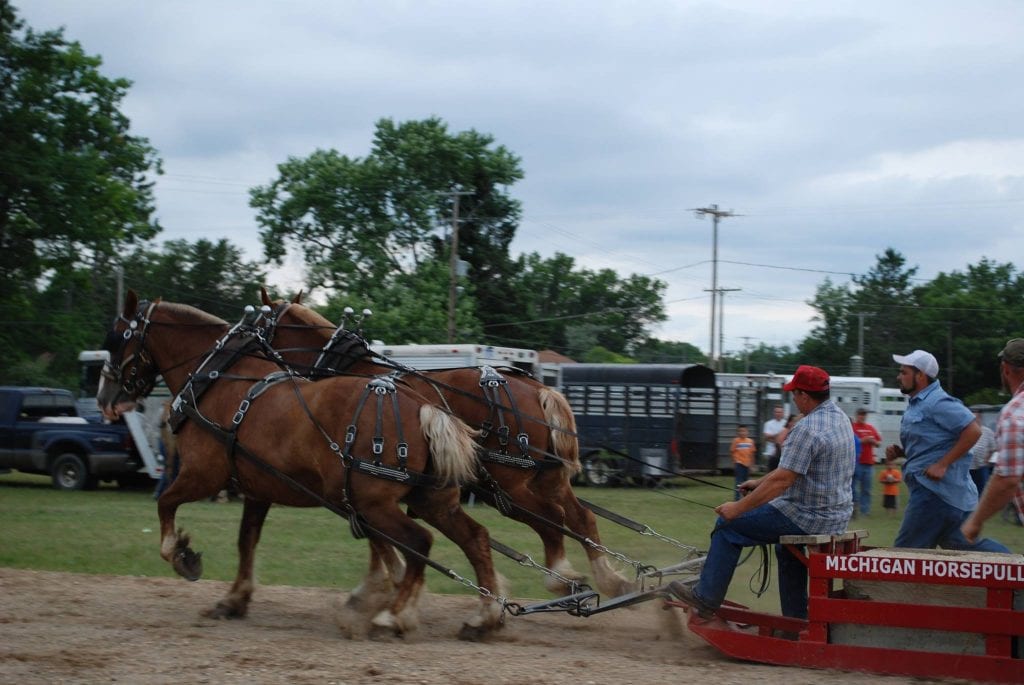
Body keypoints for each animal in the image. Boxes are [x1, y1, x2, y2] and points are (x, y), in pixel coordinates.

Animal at [96, 290, 503, 638]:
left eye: (115, 340)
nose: (105, 398)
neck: (218, 378)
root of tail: (425, 406)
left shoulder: (202, 474)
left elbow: (167, 504)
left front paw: (182, 555)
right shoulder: (257, 489)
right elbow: (246, 540)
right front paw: (234, 599)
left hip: (374, 501)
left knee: (419, 542)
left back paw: (394, 617)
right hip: (429, 499)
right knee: (475, 539)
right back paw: (484, 616)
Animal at [258, 290, 630, 593]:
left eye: (259, 321)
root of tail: (540, 389)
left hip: (511, 484)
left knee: (552, 519)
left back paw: (562, 577)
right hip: (547, 477)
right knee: (580, 518)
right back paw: (609, 579)